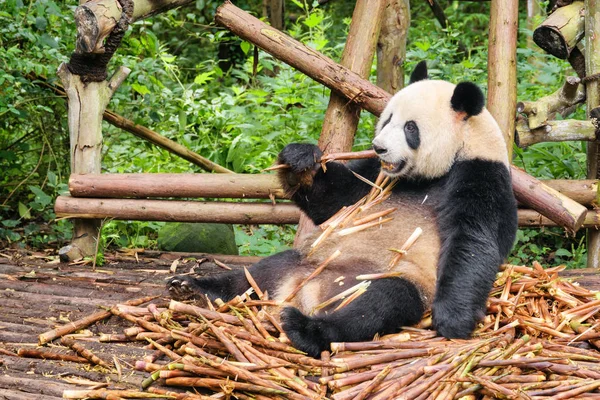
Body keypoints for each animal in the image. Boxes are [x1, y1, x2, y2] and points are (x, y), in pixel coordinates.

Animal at [166, 62, 516, 356]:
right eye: (387, 119)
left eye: (410, 128)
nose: (379, 147)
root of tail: (304, 293)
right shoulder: (376, 177)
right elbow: (335, 201)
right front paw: (300, 158)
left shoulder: (481, 175)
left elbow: (473, 242)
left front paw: (452, 321)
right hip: (304, 261)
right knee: (256, 275)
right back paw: (194, 288)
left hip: (391, 279)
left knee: (377, 305)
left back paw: (306, 329)